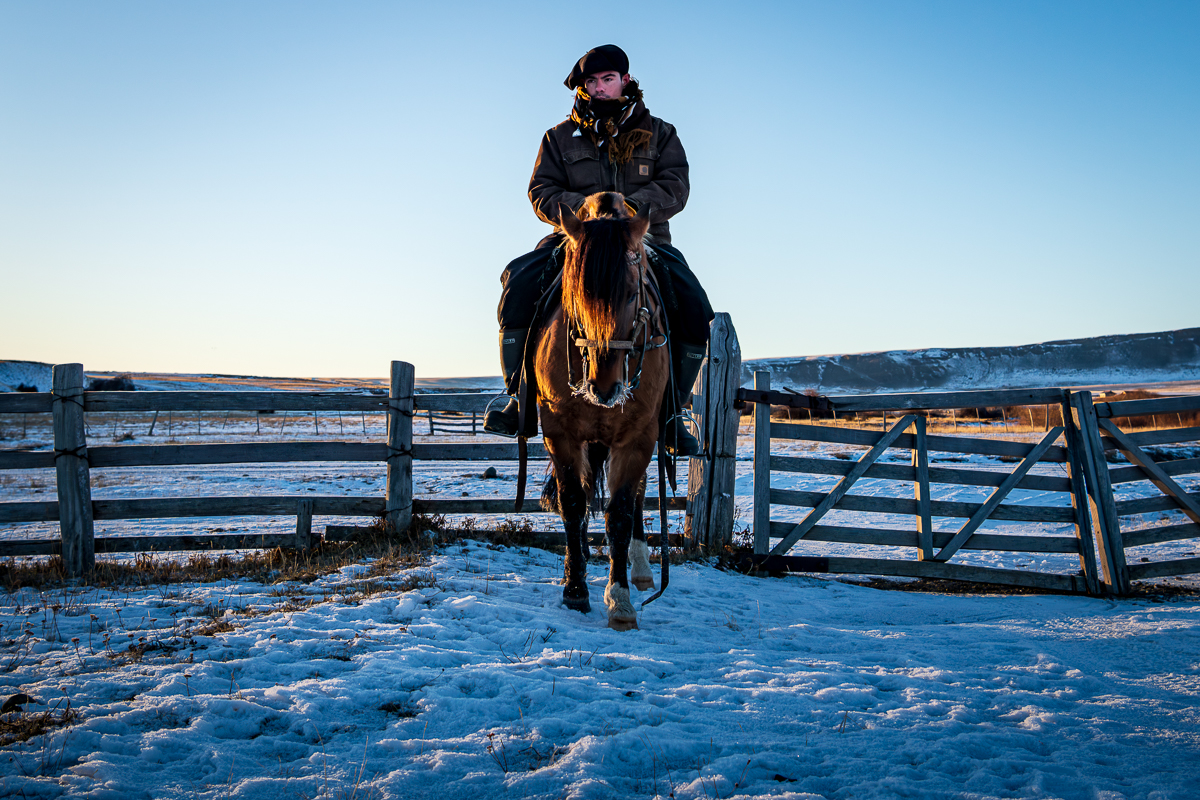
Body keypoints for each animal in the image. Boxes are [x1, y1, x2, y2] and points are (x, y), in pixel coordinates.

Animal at [533, 192, 670, 631]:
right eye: (576, 294)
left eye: (631, 293)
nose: (604, 387)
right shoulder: (560, 432)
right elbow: (573, 504)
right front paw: (575, 589)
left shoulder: (639, 437)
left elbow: (621, 514)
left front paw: (620, 599)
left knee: (639, 497)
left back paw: (641, 570)